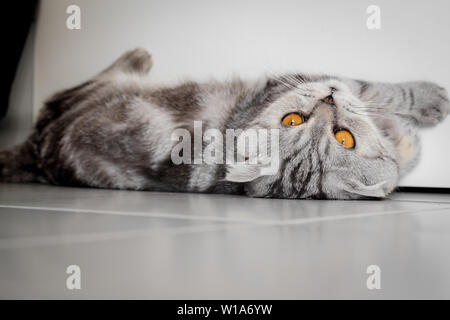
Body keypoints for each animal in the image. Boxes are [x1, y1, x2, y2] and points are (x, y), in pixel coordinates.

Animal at [0, 47, 448, 199]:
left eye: (344, 138)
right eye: (292, 119)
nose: (328, 99)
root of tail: (35, 151)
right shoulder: (298, 75)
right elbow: (373, 87)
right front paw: (431, 97)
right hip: (85, 96)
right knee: (77, 85)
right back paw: (139, 55)